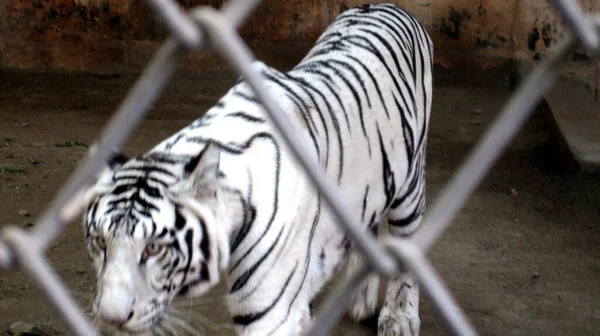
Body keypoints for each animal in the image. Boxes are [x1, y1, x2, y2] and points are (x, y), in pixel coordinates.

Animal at [83, 3, 432, 336]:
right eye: (100, 241)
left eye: (154, 248)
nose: (111, 318)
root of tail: (387, 7)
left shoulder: (268, 313)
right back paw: (360, 300)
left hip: (410, 186)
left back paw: (399, 319)